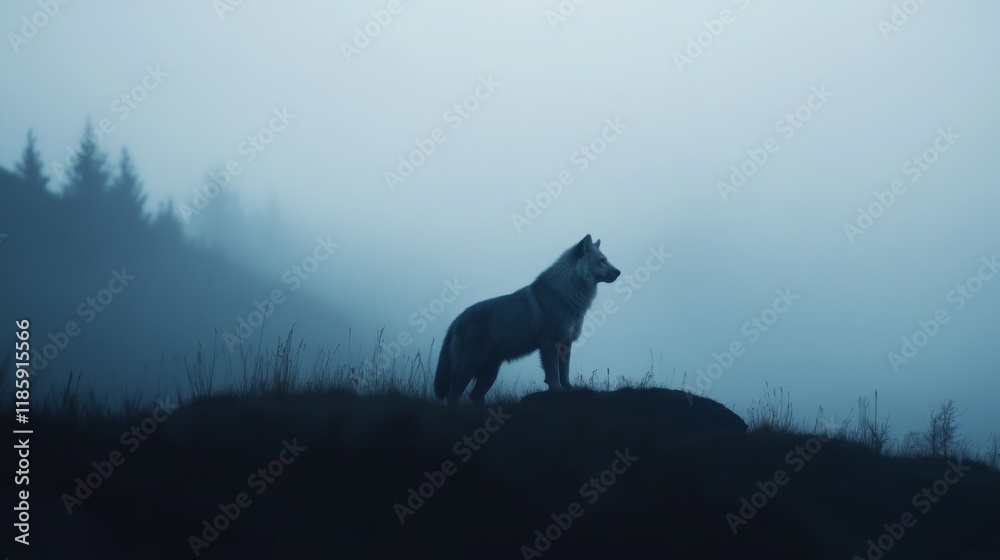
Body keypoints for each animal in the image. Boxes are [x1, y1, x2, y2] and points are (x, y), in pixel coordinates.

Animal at [434, 234, 621, 407]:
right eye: (602, 260)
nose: (618, 272)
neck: (567, 293)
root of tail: (458, 318)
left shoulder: (566, 343)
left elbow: (565, 373)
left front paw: (569, 388)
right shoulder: (549, 343)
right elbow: (553, 373)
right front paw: (557, 390)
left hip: (489, 371)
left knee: (475, 396)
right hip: (471, 365)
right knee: (453, 395)